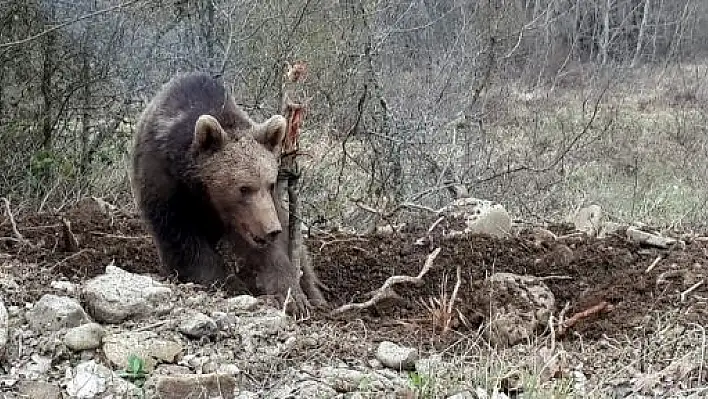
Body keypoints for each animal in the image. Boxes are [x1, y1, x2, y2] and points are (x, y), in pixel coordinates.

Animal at [130, 72, 324, 316]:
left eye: (270, 184)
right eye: (244, 188)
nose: (271, 230)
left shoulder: (261, 211)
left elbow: (272, 249)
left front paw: (292, 297)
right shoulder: (165, 183)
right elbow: (182, 238)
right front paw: (229, 283)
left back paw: (315, 295)